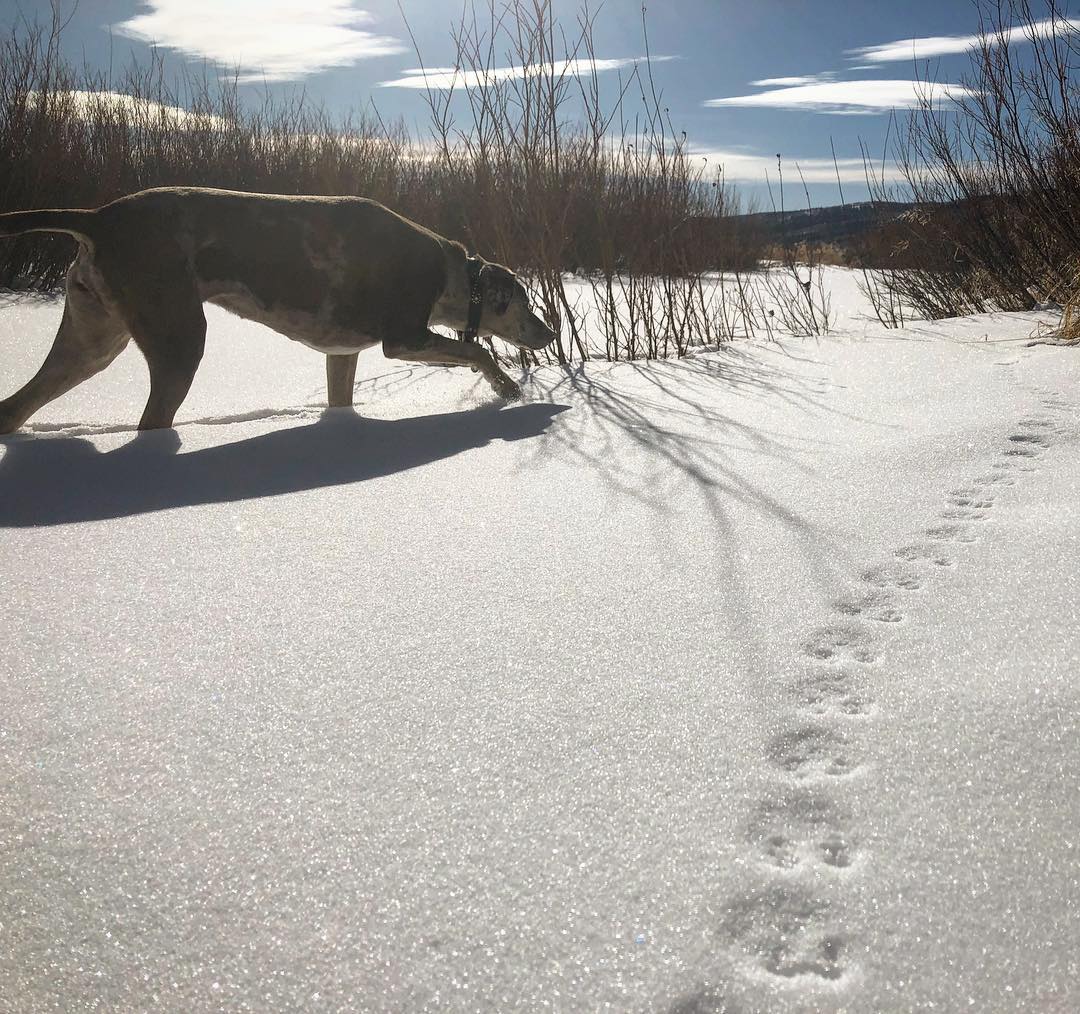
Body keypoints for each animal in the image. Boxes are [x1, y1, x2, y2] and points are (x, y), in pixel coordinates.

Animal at [0, 186, 557, 431]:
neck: (452, 272)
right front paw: (507, 389)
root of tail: (98, 217)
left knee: (16, 407)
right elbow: (478, 353)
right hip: (179, 339)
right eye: (526, 304)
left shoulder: (343, 352)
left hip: (90, 340)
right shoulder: (404, 338)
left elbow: (340, 396)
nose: (550, 333)